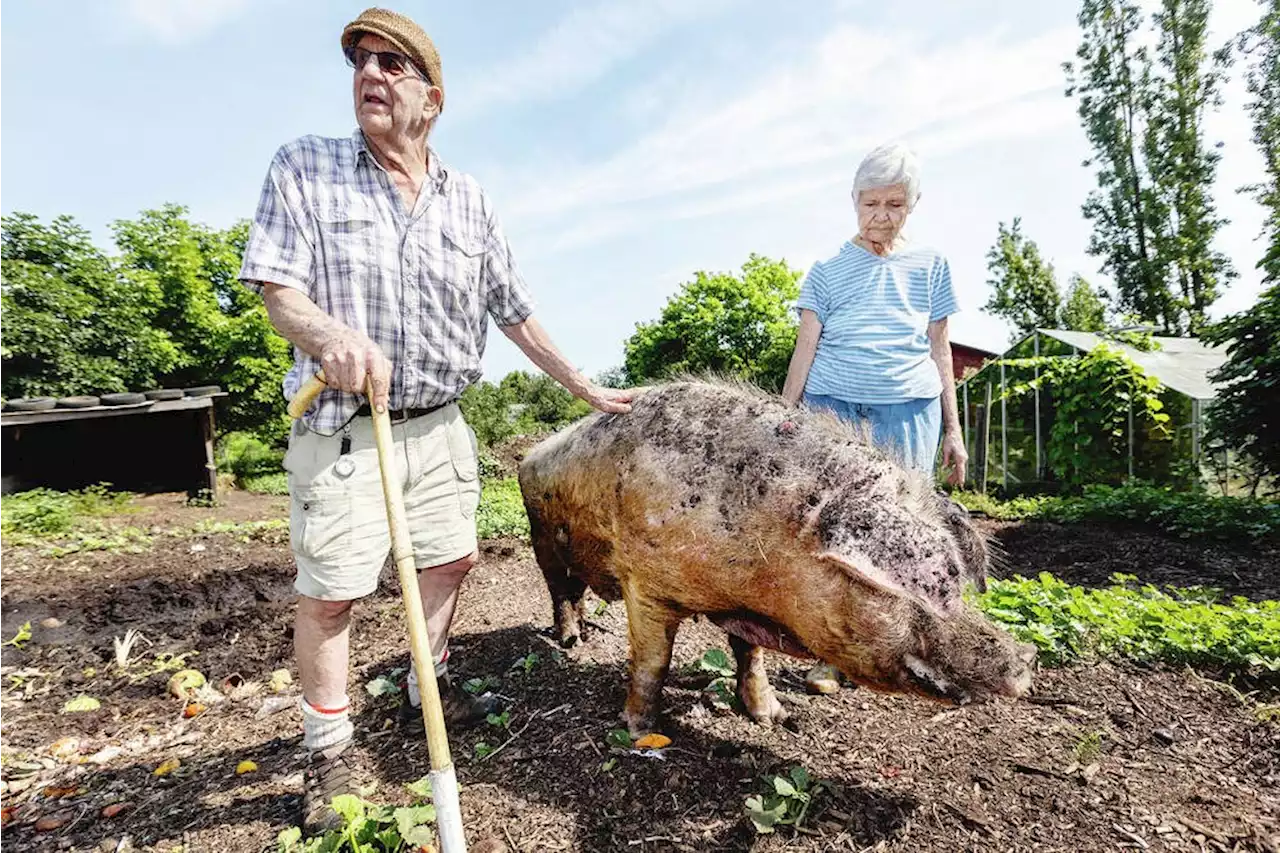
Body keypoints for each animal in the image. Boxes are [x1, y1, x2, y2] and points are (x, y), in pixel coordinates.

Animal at [514, 376, 1034, 732]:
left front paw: (772, 717)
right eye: (929, 585)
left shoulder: (744, 607)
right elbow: (652, 662)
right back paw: (570, 643)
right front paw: (639, 731)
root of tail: (529, 455)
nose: (1026, 659)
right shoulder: (645, 585)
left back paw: (587, 633)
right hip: (541, 538)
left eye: (961, 582)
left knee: (578, 590)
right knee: (559, 591)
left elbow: (751, 655)